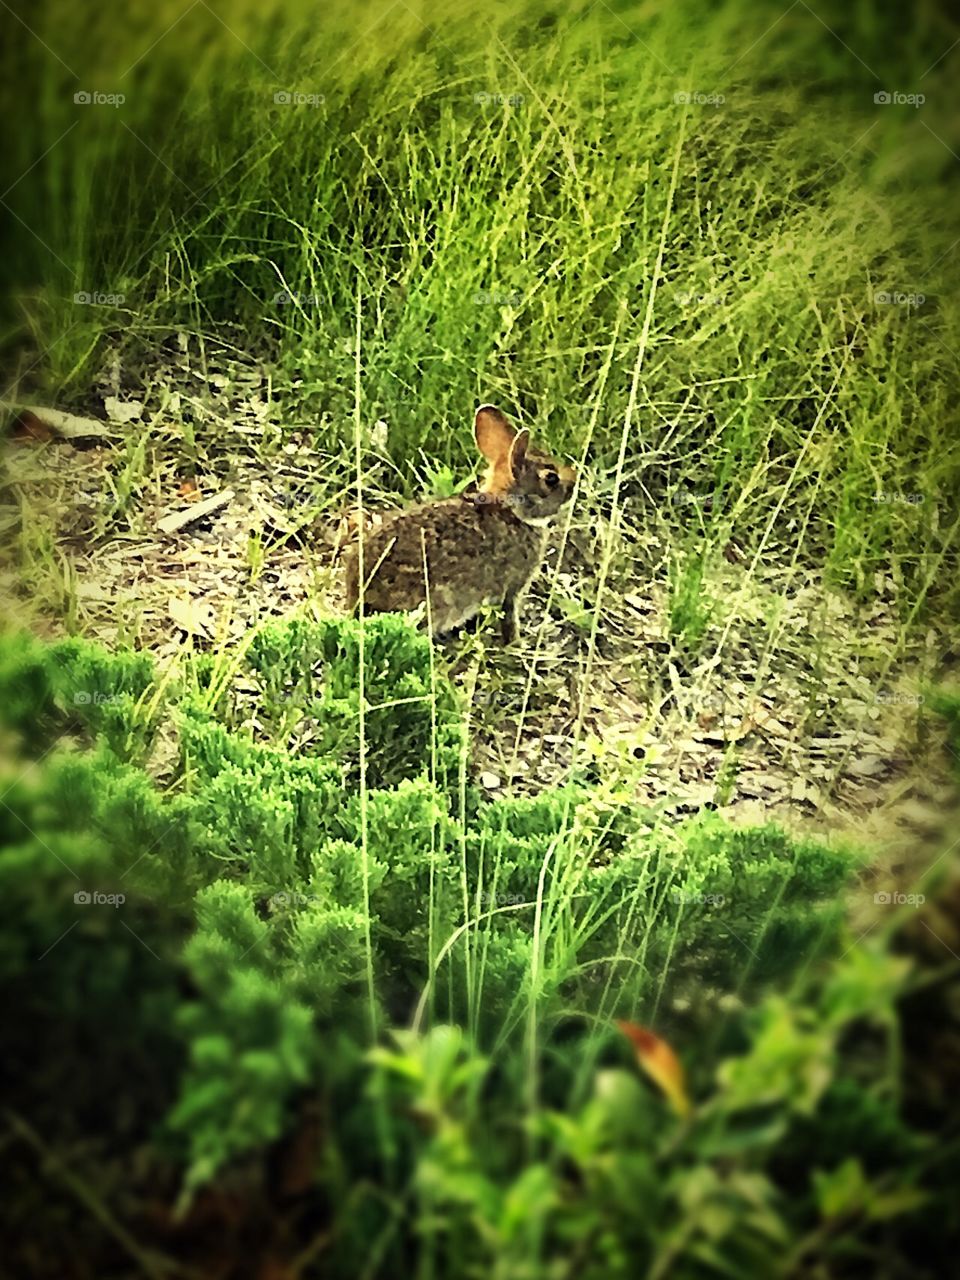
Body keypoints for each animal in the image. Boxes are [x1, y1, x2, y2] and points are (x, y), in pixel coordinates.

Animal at [343, 405, 576, 642]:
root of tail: (361, 598)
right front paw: (516, 643)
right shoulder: (513, 586)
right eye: (551, 479)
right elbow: (509, 616)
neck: (510, 509)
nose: (573, 484)